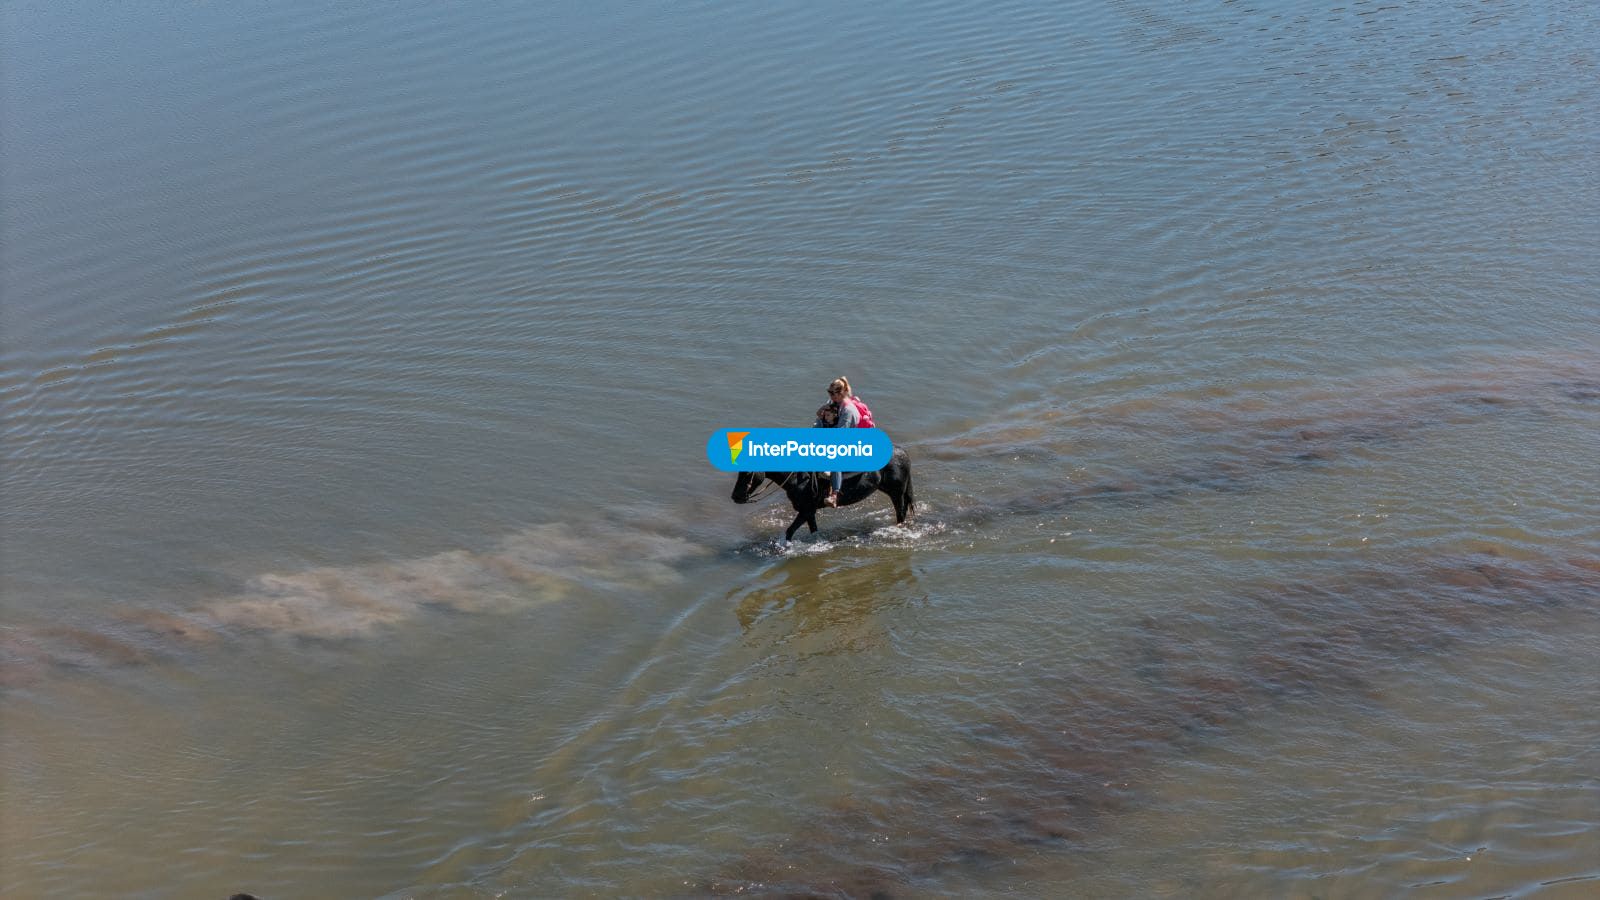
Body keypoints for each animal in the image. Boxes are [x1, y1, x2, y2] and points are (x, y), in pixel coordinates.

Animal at [731, 447, 914, 542]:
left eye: (747, 473)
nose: (736, 497)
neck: (798, 478)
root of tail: (903, 453)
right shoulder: (809, 512)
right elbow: (812, 530)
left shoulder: (806, 510)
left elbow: (789, 531)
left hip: (896, 494)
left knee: (901, 513)